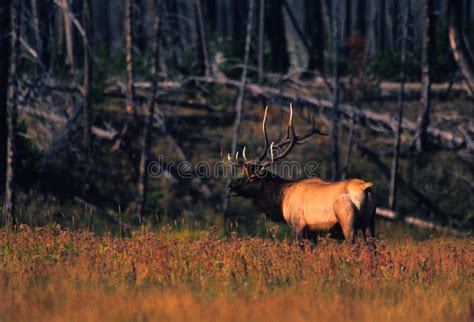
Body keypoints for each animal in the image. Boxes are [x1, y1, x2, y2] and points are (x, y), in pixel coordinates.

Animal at [228, 106, 376, 244]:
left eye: (252, 177)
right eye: (243, 172)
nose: (231, 185)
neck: (283, 199)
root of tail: (365, 187)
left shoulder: (299, 226)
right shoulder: (314, 233)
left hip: (348, 223)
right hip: (370, 224)